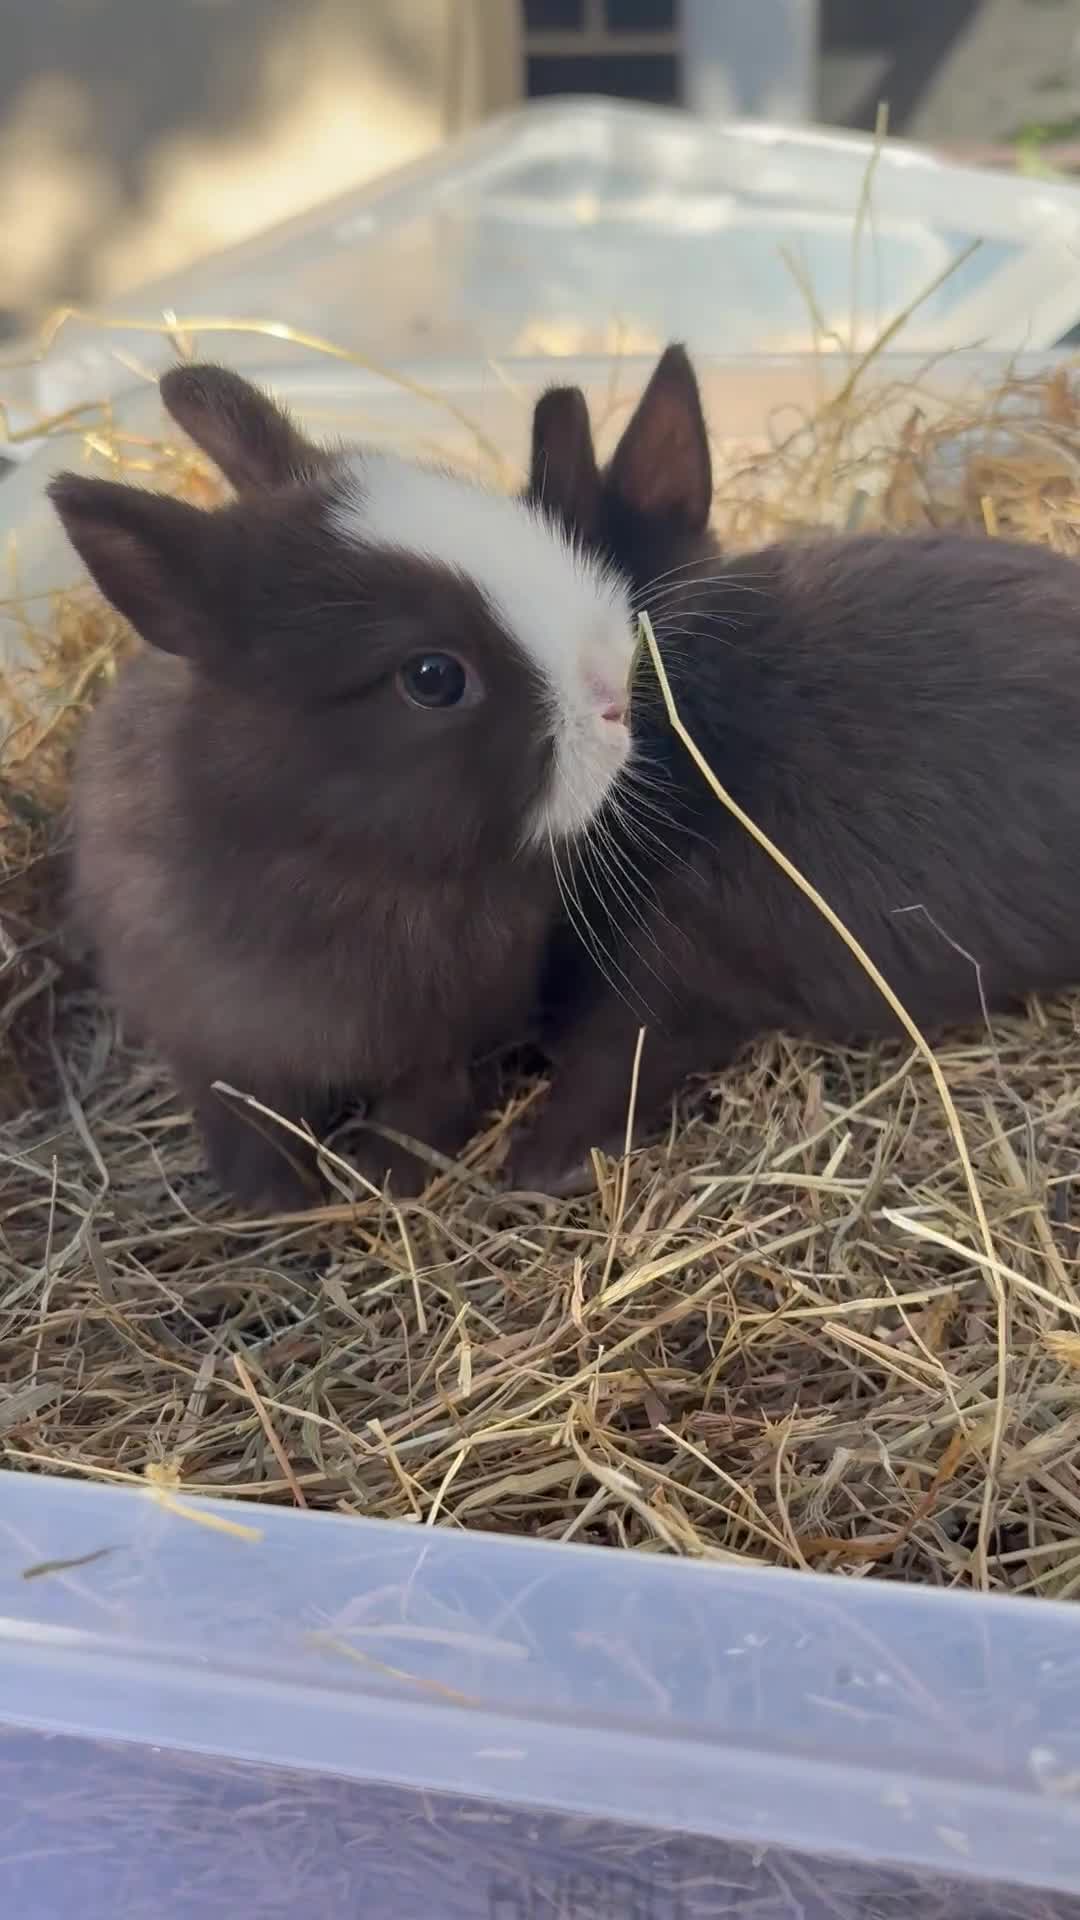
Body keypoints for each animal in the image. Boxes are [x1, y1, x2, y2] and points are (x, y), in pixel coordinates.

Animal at [50, 363, 635, 1212]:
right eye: (433, 678)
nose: (615, 694)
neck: (351, 869)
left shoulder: (447, 1039)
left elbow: (424, 1106)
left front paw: (386, 1179)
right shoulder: (215, 1044)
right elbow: (250, 1123)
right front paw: (277, 1207)